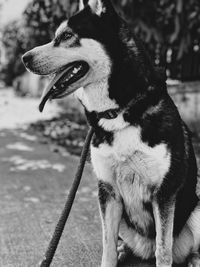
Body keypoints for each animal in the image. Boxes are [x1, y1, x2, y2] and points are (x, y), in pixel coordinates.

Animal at [21, 1, 200, 266]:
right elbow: (107, 247)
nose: (24, 58)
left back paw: (193, 259)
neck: (118, 113)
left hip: (197, 212)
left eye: (67, 36)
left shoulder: (164, 194)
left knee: (175, 248)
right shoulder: (108, 192)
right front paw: (112, 255)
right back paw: (125, 250)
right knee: (124, 243)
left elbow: (163, 250)